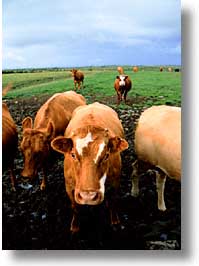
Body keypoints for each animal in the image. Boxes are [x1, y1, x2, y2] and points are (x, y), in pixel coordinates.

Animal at [51, 103, 129, 232]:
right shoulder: (69, 186)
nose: (88, 196)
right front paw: (75, 225)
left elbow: (113, 202)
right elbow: (75, 207)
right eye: (73, 155)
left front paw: (115, 220)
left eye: (106, 155)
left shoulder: (115, 182)